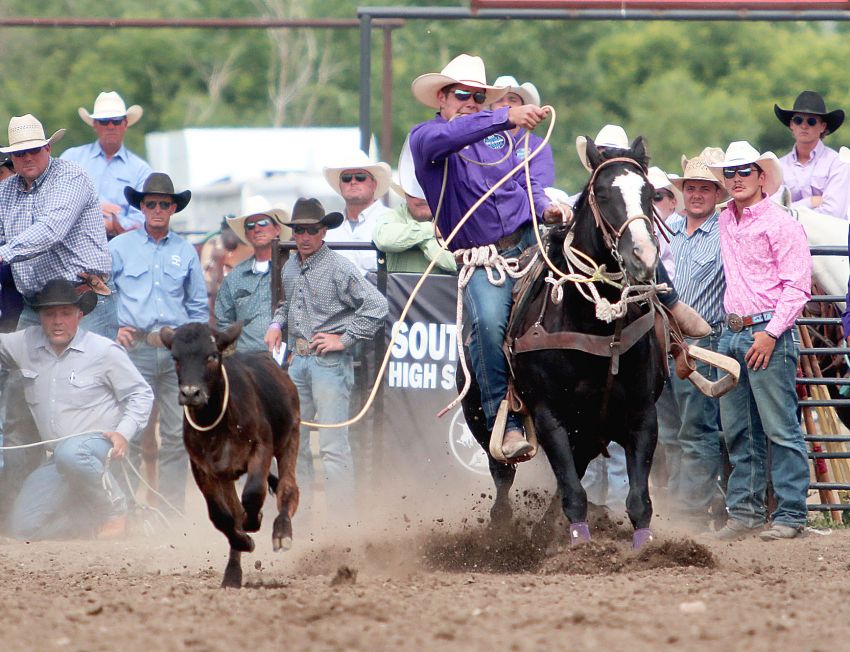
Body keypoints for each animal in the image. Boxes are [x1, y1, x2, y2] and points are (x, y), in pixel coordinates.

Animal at [458, 138, 664, 552]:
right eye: (604, 194)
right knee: (502, 473)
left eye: (650, 193)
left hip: (585, 431)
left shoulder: (641, 414)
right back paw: (502, 530)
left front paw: (643, 550)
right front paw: (580, 547)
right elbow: (573, 493)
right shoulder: (549, 415)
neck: (594, 325)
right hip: (481, 417)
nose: (643, 256)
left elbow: (638, 500)